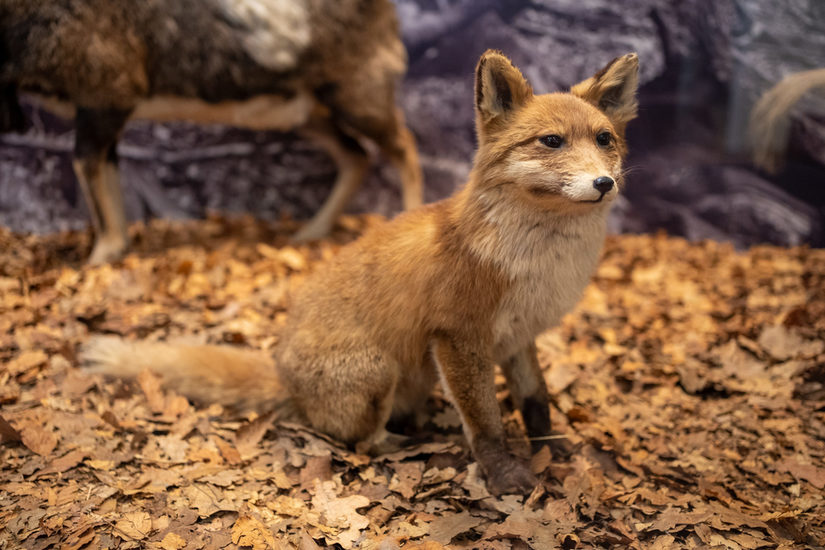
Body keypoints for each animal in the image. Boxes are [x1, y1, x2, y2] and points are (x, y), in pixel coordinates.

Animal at [0, 0, 422, 266]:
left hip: (358, 95)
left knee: (404, 148)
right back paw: (310, 232)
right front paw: (116, 248)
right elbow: (106, 173)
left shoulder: (104, 98)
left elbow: (87, 168)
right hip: (308, 114)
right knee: (356, 157)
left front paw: (101, 256)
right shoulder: (104, 114)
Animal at [83, 49, 636, 494]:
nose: (604, 183)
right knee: (360, 443)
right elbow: (486, 422)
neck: (537, 266)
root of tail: (285, 374)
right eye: (551, 141)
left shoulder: (520, 335)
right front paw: (504, 474)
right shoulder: (458, 338)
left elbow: (536, 400)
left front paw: (554, 447)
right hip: (378, 372)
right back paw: (413, 445)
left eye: (604, 139)